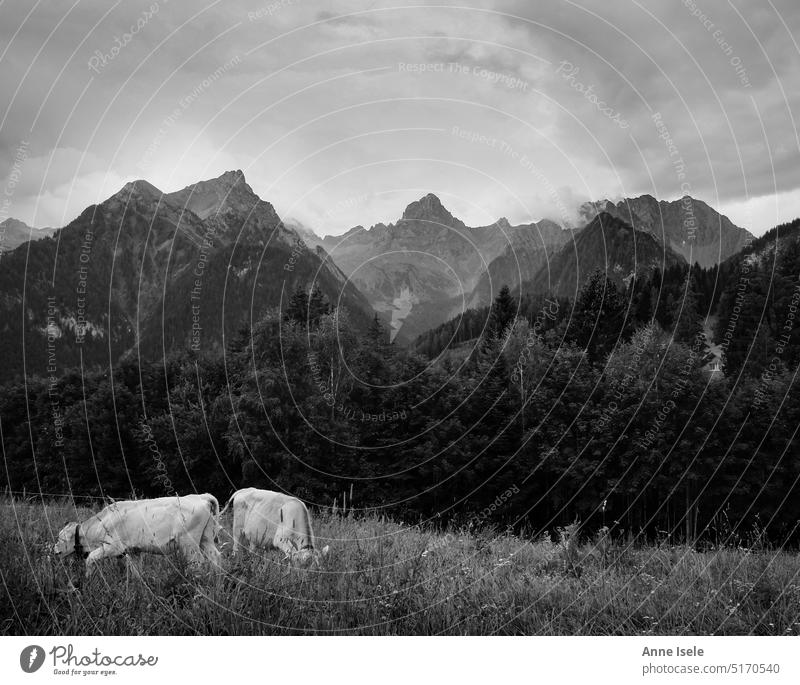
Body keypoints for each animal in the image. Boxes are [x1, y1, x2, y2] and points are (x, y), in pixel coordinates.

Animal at [52, 494, 222, 576]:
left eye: (60, 538)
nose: (54, 550)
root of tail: (200, 496)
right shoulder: (134, 551)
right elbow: (136, 572)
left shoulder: (113, 547)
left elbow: (90, 559)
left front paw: (88, 578)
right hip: (206, 538)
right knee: (215, 556)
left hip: (188, 542)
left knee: (197, 562)